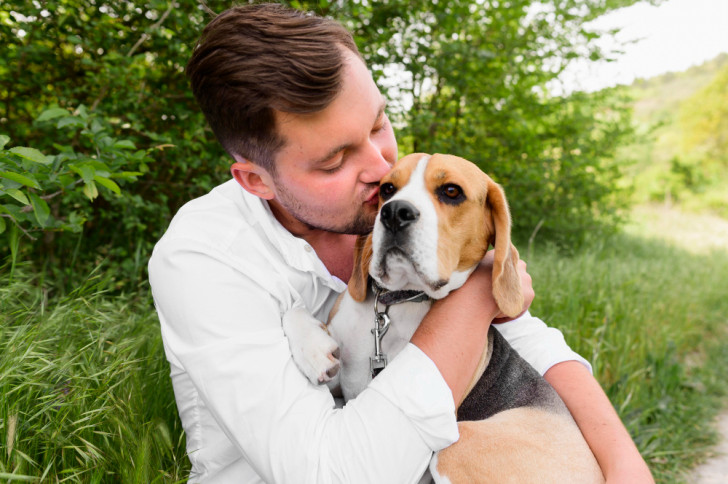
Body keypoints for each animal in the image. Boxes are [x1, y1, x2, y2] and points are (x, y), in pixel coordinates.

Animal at [284, 153, 604, 482]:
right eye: (387, 189)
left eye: (451, 191)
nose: (394, 212)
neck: (398, 304)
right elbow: (293, 310)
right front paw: (315, 352)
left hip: (457, 447)